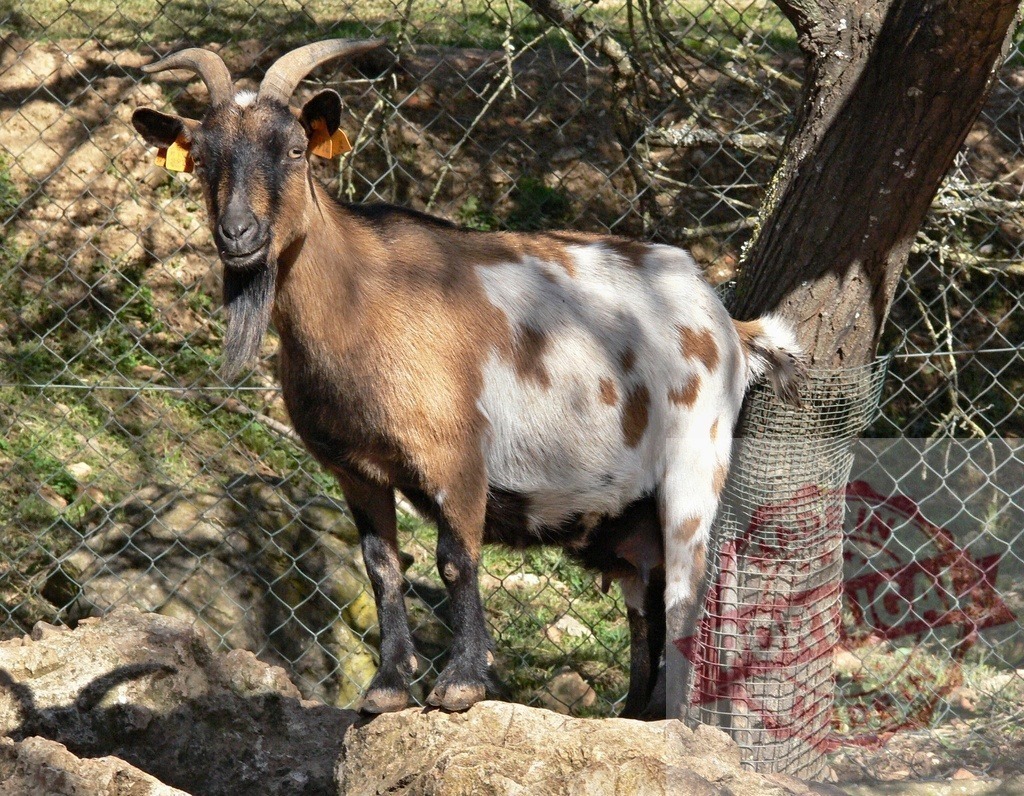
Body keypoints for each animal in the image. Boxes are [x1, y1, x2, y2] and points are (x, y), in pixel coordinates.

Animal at [131, 39, 804, 719]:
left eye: (295, 149)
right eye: (200, 159)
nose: (237, 234)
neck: (363, 300)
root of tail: (729, 324)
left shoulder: (454, 456)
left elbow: (456, 560)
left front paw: (460, 683)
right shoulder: (356, 469)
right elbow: (383, 567)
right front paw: (387, 687)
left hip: (695, 467)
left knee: (688, 598)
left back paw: (677, 721)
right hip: (632, 519)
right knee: (648, 611)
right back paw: (638, 716)